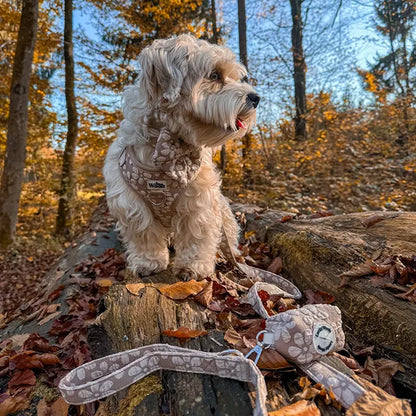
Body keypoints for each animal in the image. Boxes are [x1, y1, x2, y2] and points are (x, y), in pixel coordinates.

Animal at [103, 33, 260, 280]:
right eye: (214, 75)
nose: (256, 98)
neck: (166, 143)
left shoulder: (199, 200)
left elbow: (196, 234)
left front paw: (193, 266)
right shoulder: (131, 204)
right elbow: (144, 235)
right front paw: (148, 262)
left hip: (224, 212)